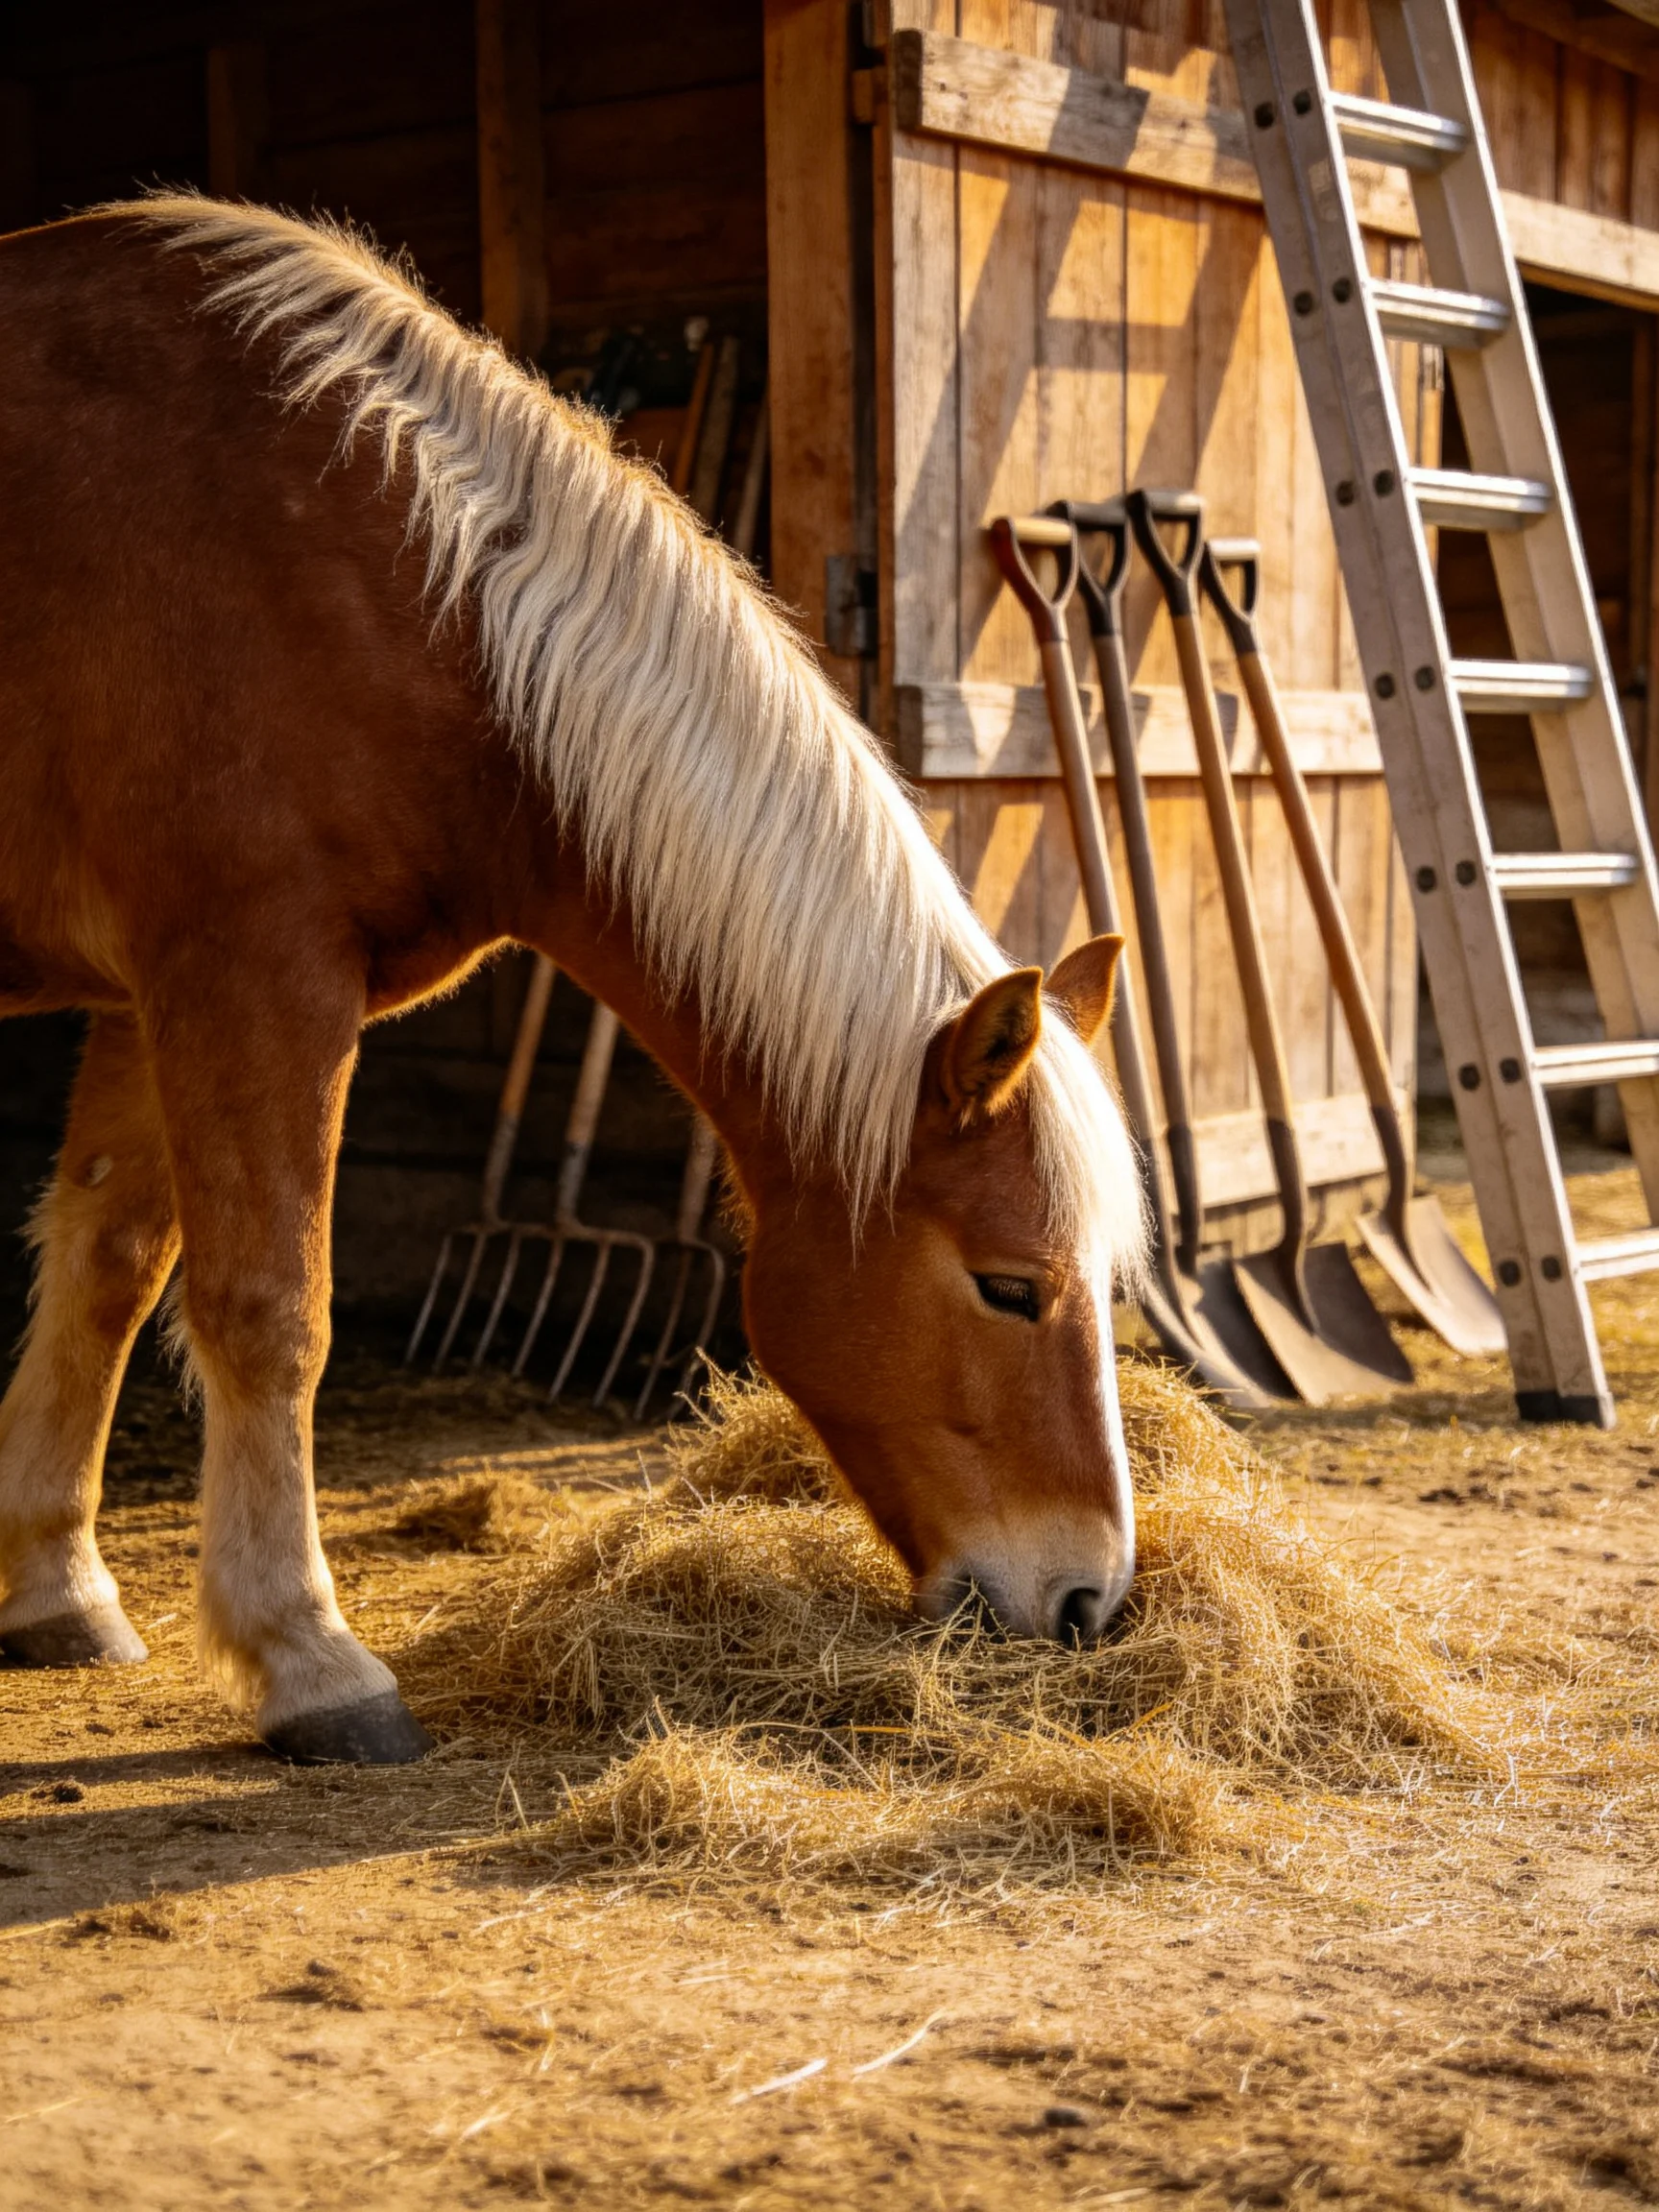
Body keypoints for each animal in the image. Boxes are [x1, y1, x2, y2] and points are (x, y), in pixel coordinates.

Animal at [0, 199, 1148, 1764]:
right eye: (1010, 1288)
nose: (1093, 1603)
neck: (397, 590)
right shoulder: (250, 979)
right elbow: (268, 1307)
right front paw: (309, 1656)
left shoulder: (147, 996)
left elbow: (110, 1268)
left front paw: (54, 1585)